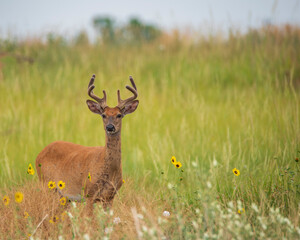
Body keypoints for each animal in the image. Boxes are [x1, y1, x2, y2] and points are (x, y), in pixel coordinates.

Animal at [35, 73, 139, 210]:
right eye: (103, 115)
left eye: (119, 115)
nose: (110, 127)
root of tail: (39, 154)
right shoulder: (89, 193)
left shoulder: (110, 197)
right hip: (46, 184)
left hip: (64, 197)